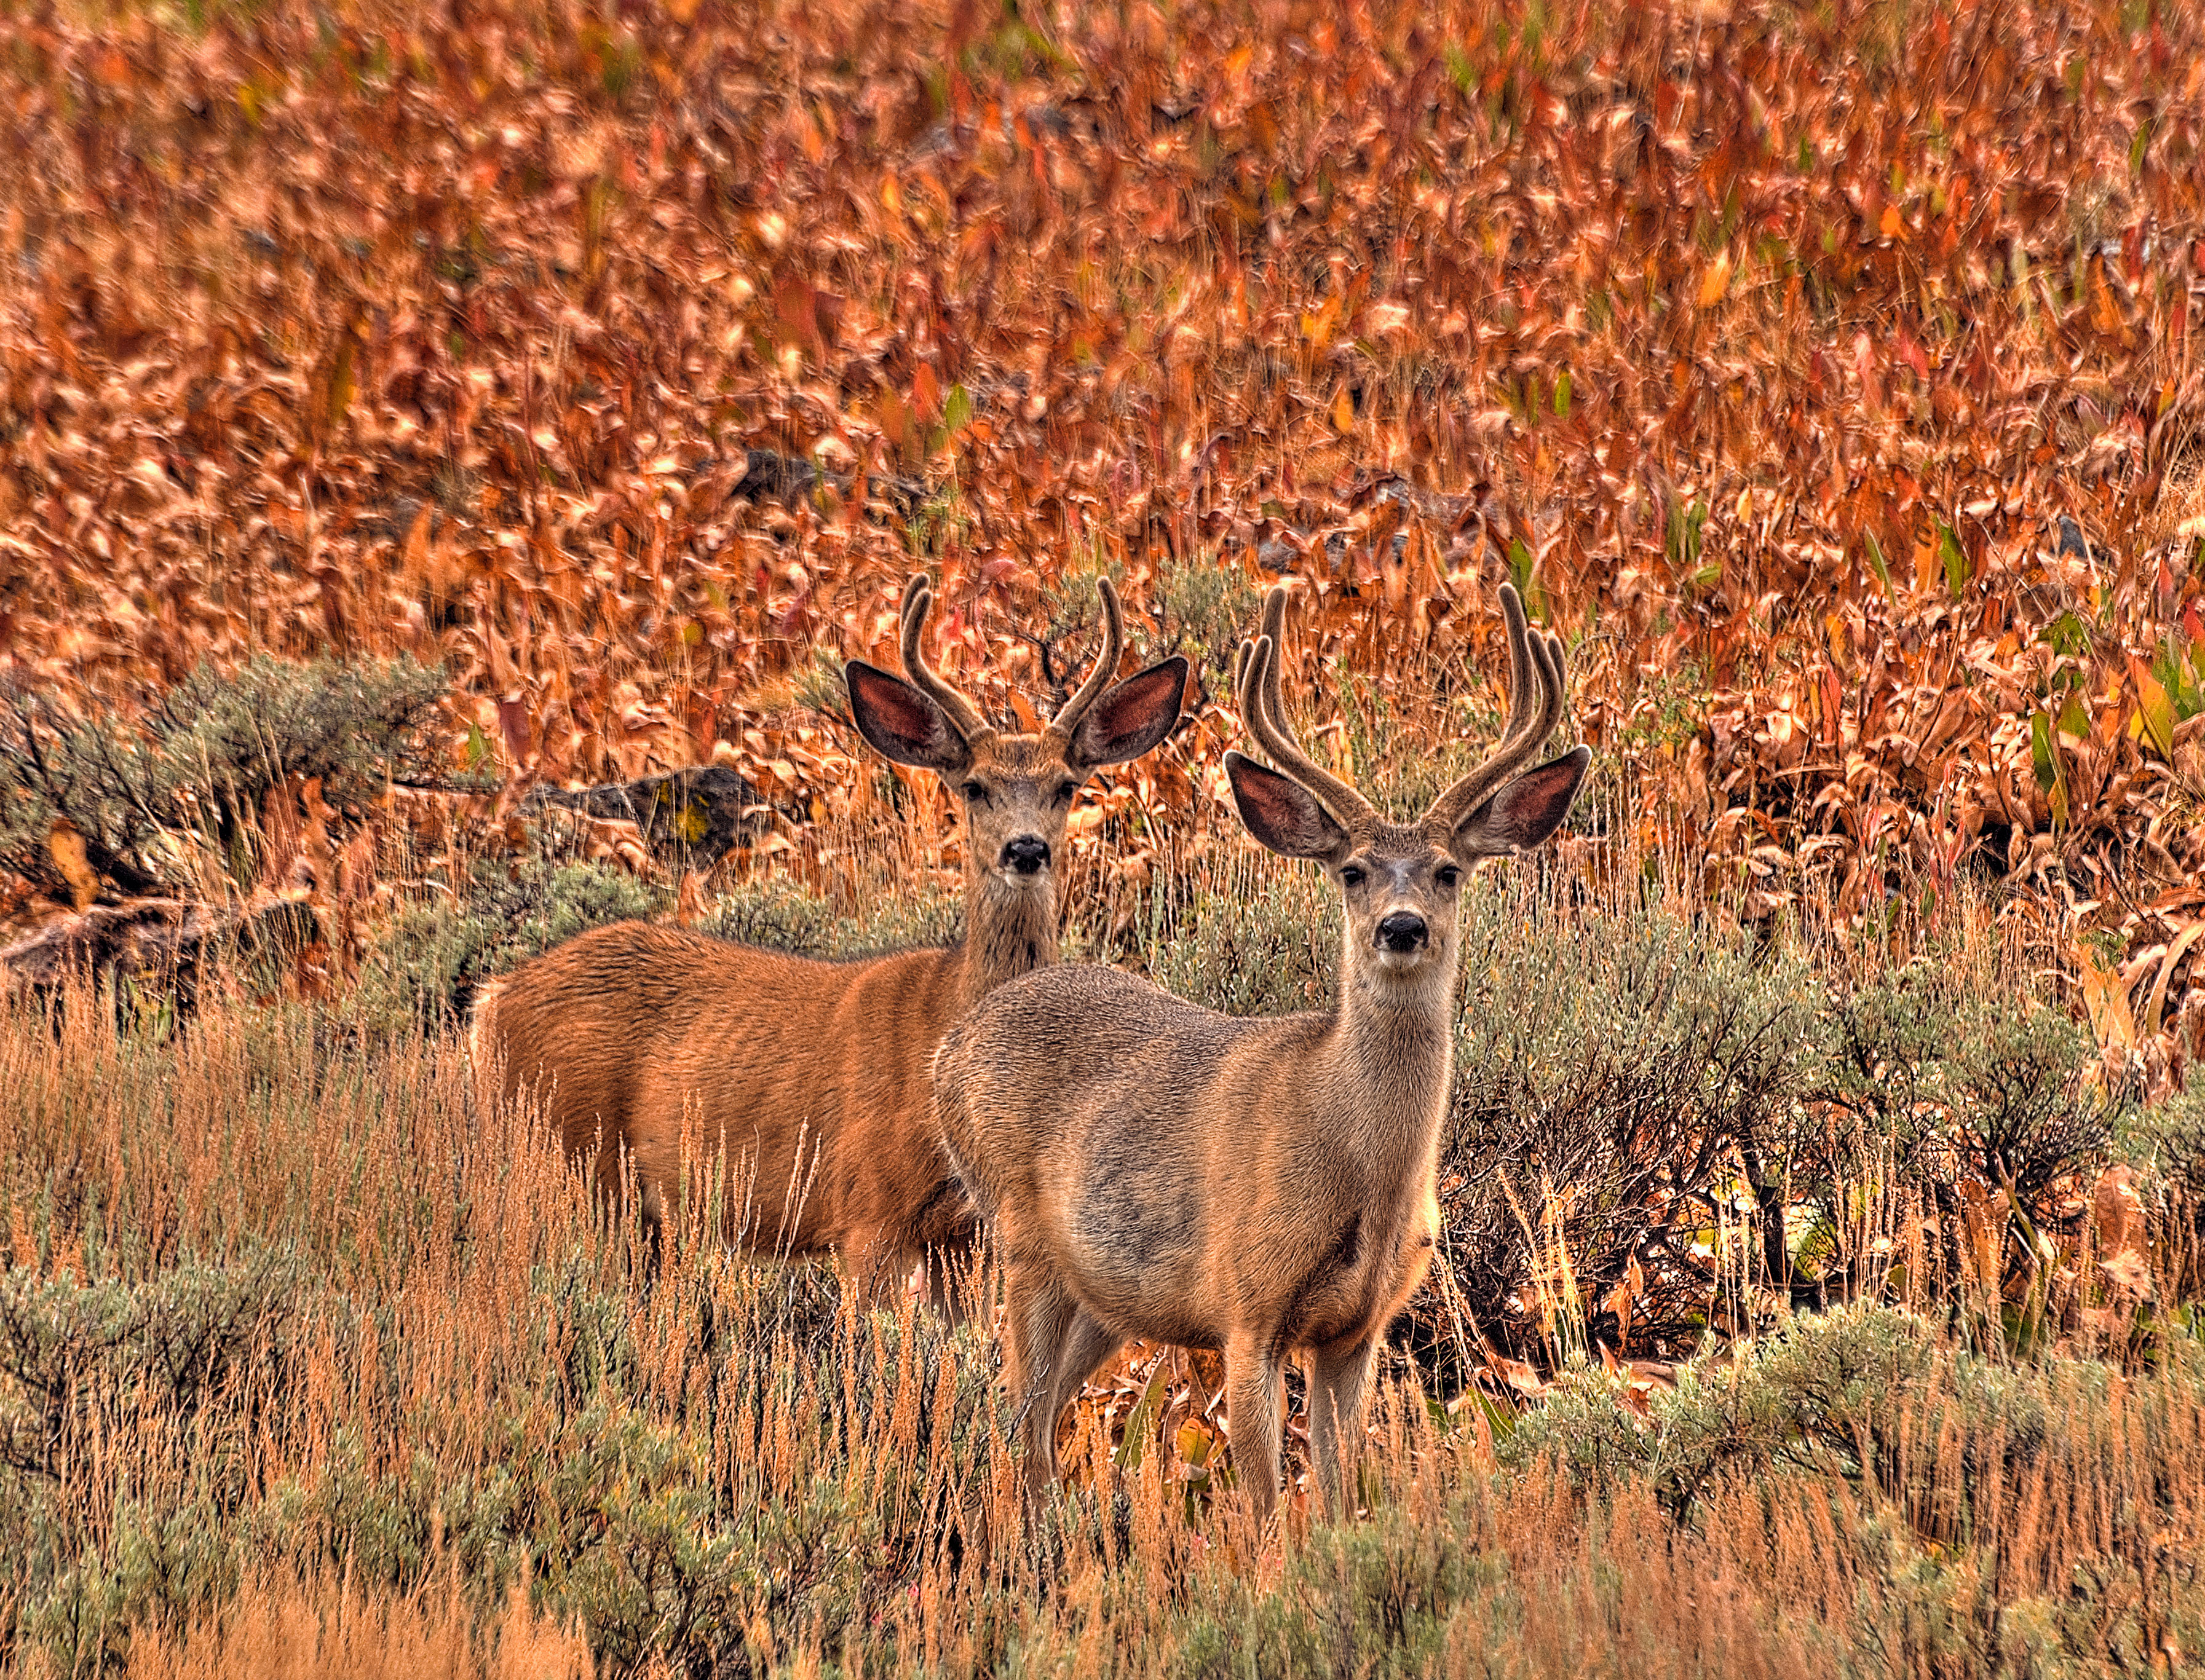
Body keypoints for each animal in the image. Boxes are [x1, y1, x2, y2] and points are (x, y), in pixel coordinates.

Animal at [470, 574, 1188, 1305]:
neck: (944, 1021)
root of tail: (492, 1000)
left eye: (1066, 786)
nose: (1026, 849)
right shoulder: (865, 1209)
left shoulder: (965, 1234)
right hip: (572, 1155)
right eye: (974, 787)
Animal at [932, 581, 1588, 1525]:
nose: (1401, 927)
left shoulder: (1358, 1330)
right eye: (1352, 871)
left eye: (1446, 871)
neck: (1358, 1166)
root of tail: (951, 1046)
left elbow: (1340, 1492)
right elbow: (1268, 1506)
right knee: (1016, 1412)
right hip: (1018, 1235)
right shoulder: (1245, 1306)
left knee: (1041, 1413)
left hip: (1107, 1291)